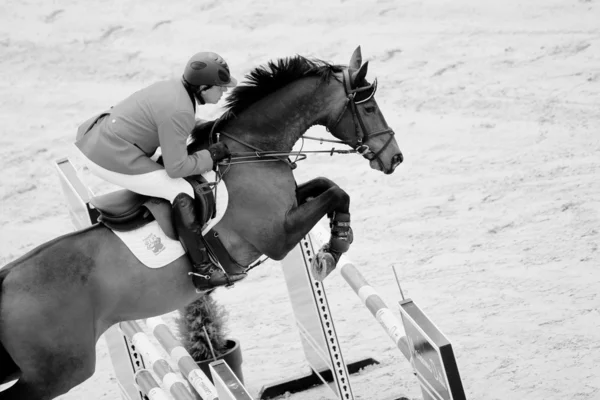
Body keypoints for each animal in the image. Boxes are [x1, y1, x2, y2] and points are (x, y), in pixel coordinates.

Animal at [1, 46, 404, 396]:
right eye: (369, 107)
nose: (394, 158)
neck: (250, 153)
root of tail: (5, 281)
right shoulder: (278, 235)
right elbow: (333, 193)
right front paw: (331, 253)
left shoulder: (290, 208)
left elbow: (328, 186)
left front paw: (335, 242)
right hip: (62, 370)